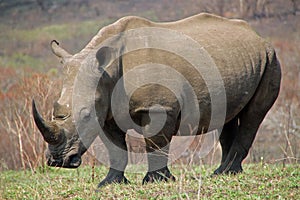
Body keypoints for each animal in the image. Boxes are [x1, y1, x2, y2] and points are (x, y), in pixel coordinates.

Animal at [32, 13, 282, 187]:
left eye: (85, 115)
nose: (57, 161)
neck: (108, 70)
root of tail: (258, 37)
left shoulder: (159, 107)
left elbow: (155, 143)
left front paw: (156, 180)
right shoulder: (107, 109)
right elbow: (116, 148)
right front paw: (110, 183)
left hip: (270, 58)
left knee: (253, 115)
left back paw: (228, 171)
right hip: (237, 60)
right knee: (228, 115)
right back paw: (222, 172)